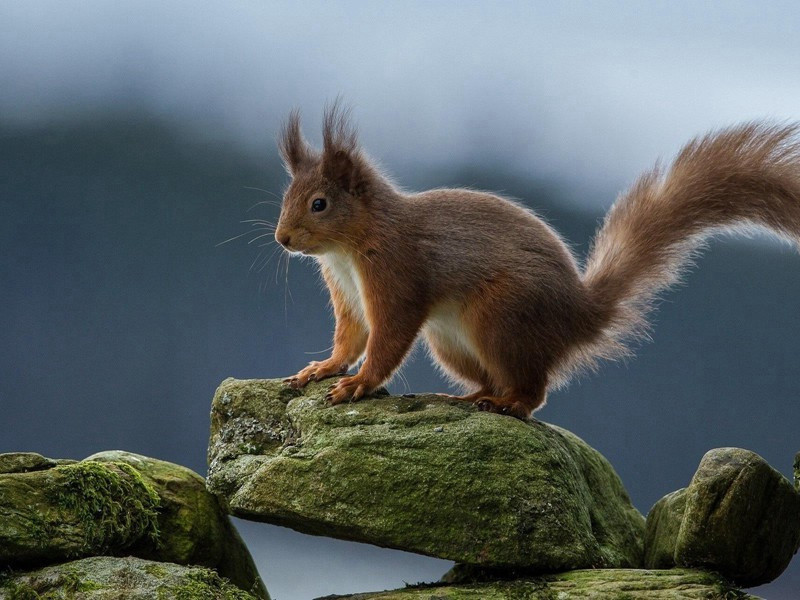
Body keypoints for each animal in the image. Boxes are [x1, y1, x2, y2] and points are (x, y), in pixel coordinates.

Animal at [276, 104, 800, 422]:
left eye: (319, 204)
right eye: (287, 197)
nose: (283, 239)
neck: (348, 249)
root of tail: (578, 317)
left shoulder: (397, 273)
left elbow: (387, 338)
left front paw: (358, 384)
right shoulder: (347, 292)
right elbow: (351, 336)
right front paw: (324, 368)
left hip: (499, 317)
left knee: (533, 392)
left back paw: (506, 405)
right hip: (452, 342)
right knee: (500, 379)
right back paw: (473, 396)